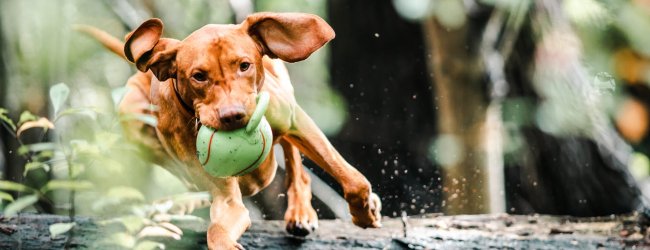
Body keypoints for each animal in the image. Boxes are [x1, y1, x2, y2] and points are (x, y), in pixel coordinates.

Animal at [83, 12, 382, 249]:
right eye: (198, 76)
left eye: (244, 65)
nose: (233, 116)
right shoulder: (225, 196)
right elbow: (217, 228)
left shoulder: (295, 121)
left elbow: (353, 180)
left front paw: (365, 213)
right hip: (132, 115)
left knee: (295, 163)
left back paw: (300, 212)